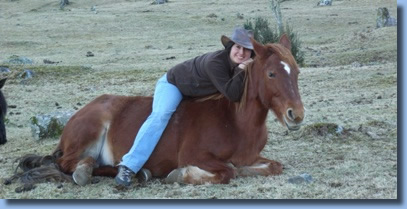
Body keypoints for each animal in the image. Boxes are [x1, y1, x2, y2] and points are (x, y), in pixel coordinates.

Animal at [9, 35, 304, 187]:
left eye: (296, 71)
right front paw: (182, 174)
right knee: (67, 163)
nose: (297, 115)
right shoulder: (195, 155)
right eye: (271, 73)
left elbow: (273, 166)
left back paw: (138, 173)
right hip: (87, 135)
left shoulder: (251, 157)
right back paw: (91, 171)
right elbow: (227, 172)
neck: (235, 121)